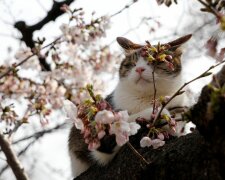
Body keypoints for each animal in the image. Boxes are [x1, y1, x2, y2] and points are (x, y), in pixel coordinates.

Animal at [67, 34, 192, 178]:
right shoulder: (98, 140)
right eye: (132, 64)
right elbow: (123, 122)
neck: (148, 98)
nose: (139, 69)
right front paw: (159, 115)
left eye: (155, 61)